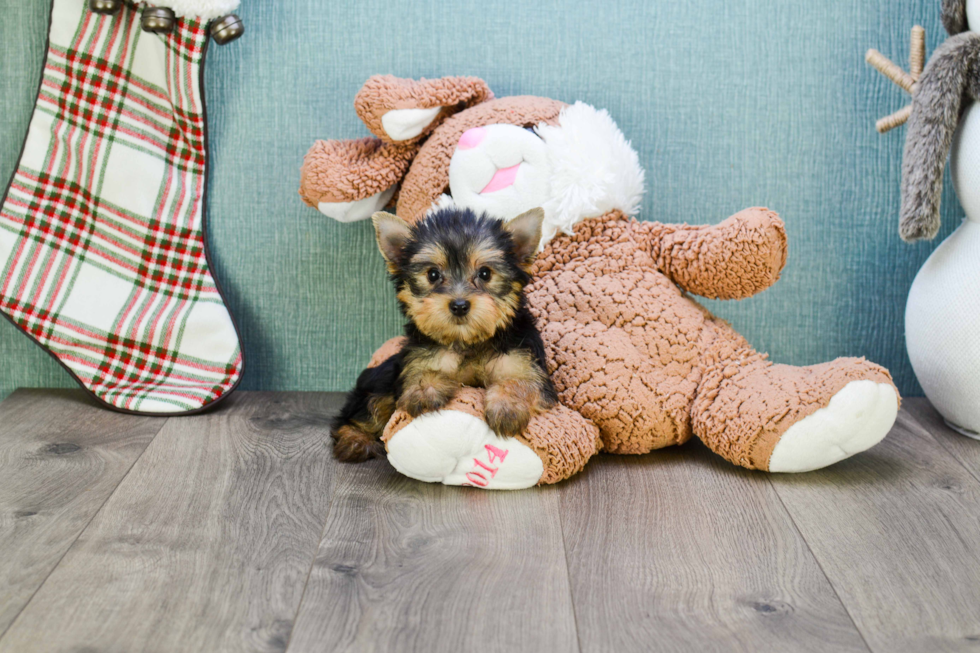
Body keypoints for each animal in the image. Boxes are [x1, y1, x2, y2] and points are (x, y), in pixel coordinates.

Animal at [332, 206, 556, 460]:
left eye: (485, 273)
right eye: (433, 275)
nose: (459, 305)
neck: (468, 341)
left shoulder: (523, 360)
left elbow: (521, 380)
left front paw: (506, 408)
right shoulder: (421, 357)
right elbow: (423, 372)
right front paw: (424, 391)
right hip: (380, 382)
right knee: (364, 410)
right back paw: (354, 440)